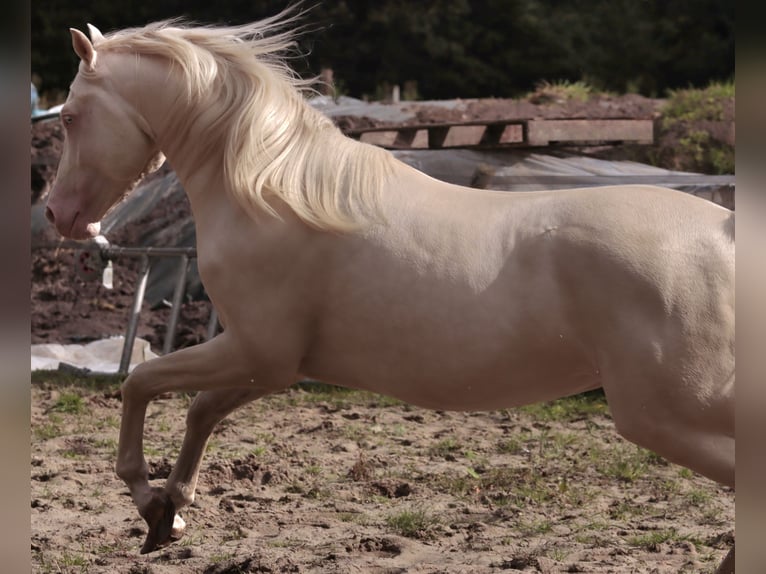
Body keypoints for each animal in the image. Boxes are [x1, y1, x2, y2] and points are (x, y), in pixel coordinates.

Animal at [46, 11, 736, 572]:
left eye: (72, 116)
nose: (57, 214)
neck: (270, 190)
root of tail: (728, 233)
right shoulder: (273, 366)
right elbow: (199, 411)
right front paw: (170, 514)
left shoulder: (256, 352)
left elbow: (140, 383)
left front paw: (148, 498)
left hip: (663, 416)